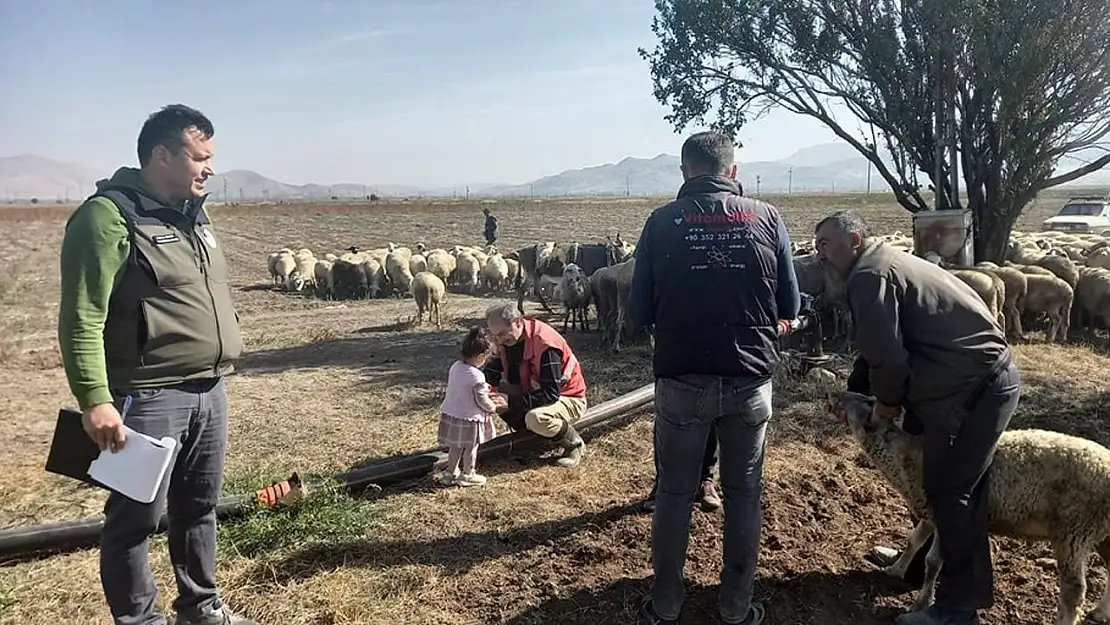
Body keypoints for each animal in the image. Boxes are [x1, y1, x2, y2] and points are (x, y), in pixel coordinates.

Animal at [834, 390, 1110, 625]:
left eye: (867, 402)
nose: (841, 394)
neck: (909, 457)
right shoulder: (928, 511)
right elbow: (913, 541)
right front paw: (895, 569)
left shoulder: (944, 515)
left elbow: (933, 562)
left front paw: (921, 603)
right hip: (1100, 533)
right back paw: (1100, 612)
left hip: (1074, 531)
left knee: (1074, 590)